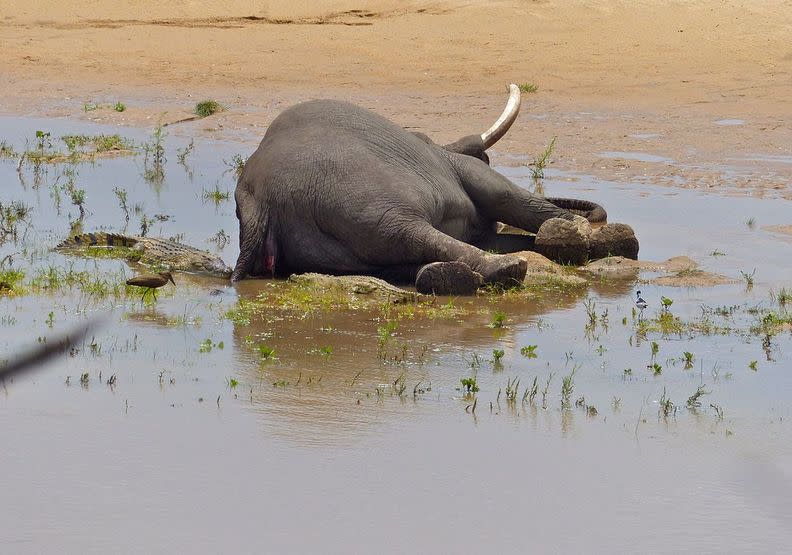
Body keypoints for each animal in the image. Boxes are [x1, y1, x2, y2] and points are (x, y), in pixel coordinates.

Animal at [230, 86, 620, 296]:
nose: (591, 214)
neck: (437, 143)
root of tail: (258, 201)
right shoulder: (462, 167)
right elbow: (504, 195)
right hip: (360, 196)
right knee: (408, 230)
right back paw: (508, 270)